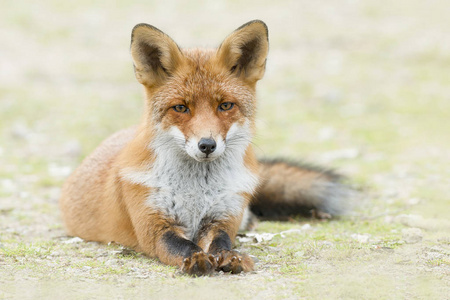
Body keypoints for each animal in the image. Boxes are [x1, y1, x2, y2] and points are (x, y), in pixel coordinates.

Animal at [59, 19, 352, 276]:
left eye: (225, 105)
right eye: (180, 108)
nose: (207, 145)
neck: (197, 191)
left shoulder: (222, 217)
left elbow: (221, 243)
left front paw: (231, 257)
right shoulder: (154, 226)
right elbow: (182, 246)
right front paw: (196, 260)